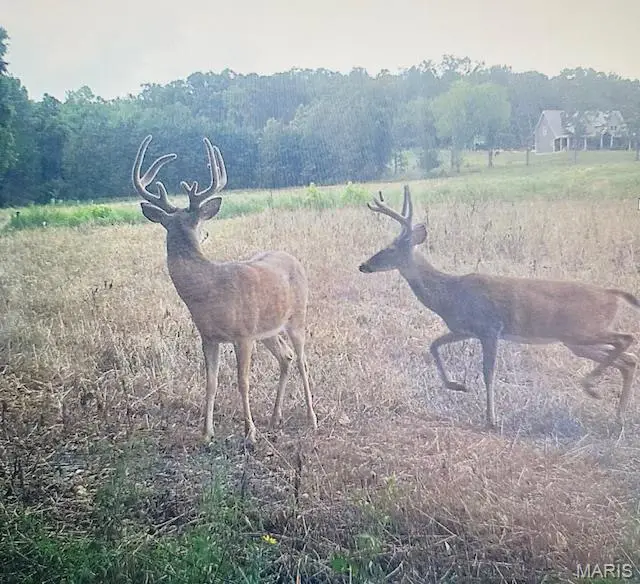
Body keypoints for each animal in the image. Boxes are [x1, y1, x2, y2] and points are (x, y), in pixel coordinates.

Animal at [132, 135, 318, 445]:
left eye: (198, 222)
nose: (206, 233)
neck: (208, 291)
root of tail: (294, 259)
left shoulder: (243, 335)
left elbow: (242, 382)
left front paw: (249, 432)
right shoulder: (208, 337)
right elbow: (211, 382)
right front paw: (206, 433)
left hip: (297, 317)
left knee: (302, 360)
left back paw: (311, 419)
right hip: (268, 330)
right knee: (286, 357)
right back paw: (275, 417)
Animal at [359, 184, 639, 429]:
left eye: (389, 248)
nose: (363, 265)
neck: (450, 294)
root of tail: (613, 294)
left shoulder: (490, 328)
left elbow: (488, 372)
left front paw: (491, 420)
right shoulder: (464, 329)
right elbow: (434, 345)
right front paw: (458, 386)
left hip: (582, 330)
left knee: (626, 339)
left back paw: (592, 387)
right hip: (575, 340)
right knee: (628, 359)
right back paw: (617, 417)